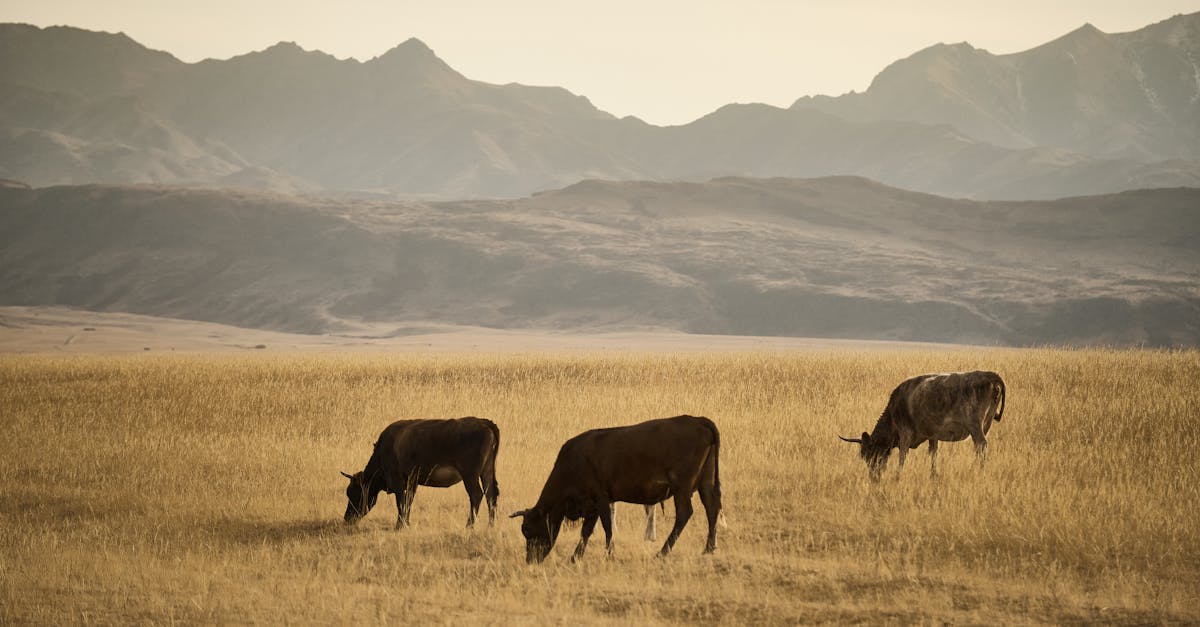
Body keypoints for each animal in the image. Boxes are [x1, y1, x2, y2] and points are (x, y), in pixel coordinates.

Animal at [341, 417, 500, 529]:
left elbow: (401, 502)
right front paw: (406, 522)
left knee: (476, 495)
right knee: (491, 495)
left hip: (469, 475)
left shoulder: (398, 480)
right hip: (487, 472)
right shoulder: (413, 481)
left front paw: (400, 525)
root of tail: (483, 422)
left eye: (354, 493)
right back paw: (490, 525)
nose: (347, 518)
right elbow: (409, 501)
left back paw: (469, 526)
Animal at [510, 415, 721, 564]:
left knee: (684, 513)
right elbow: (587, 531)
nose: (531, 560)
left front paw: (609, 554)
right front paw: (576, 556)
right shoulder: (591, 505)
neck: (572, 463)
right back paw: (708, 548)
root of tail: (698, 420)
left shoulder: (601, 498)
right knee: (712, 509)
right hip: (705, 482)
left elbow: (606, 527)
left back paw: (663, 552)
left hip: (682, 488)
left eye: (528, 529)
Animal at [840, 371, 1005, 481]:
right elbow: (933, 453)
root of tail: (990, 375)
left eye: (869, 453)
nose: (873, 477)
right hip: (986, 424)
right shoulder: (933, 435)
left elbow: (902, 454)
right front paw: (933, 475)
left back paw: (977, 471)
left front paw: (898, 476)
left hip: (974, 425)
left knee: (981, 444)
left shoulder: (905, 432)